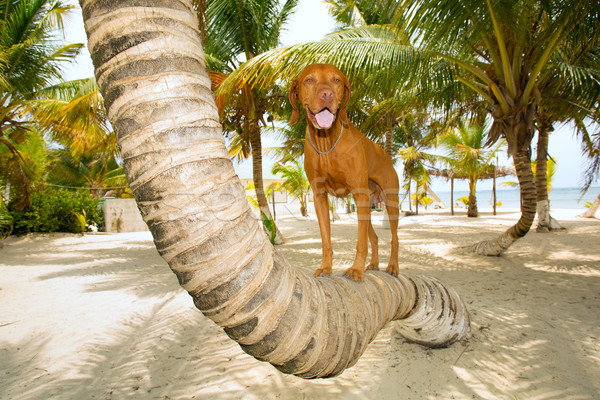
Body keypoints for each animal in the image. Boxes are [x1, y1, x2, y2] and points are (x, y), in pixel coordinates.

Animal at [290, 64, 400, 282]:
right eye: (309, 80)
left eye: (337, 80)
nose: (327, 94)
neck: (327, 142)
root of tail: (384, 153)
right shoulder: (319, 197)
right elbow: (326, 241)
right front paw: (326, 267)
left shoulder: (359, 193)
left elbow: (361, 243)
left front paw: (356, 269)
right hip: (366, 203)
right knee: (374, 237)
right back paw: (374, 265)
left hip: (389, 203)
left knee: (394, 238)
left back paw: (392, 266)